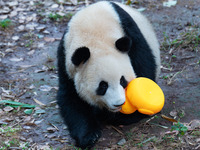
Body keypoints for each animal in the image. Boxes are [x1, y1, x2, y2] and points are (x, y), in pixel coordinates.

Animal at [57, 0, 160, 149]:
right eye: (103, 86)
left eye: (123, 81)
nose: (119, 103)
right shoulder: (66, 59)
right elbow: (71, 98)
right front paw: (89, 136)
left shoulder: (131, 35)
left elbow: (144, 71)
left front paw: (126, 115)